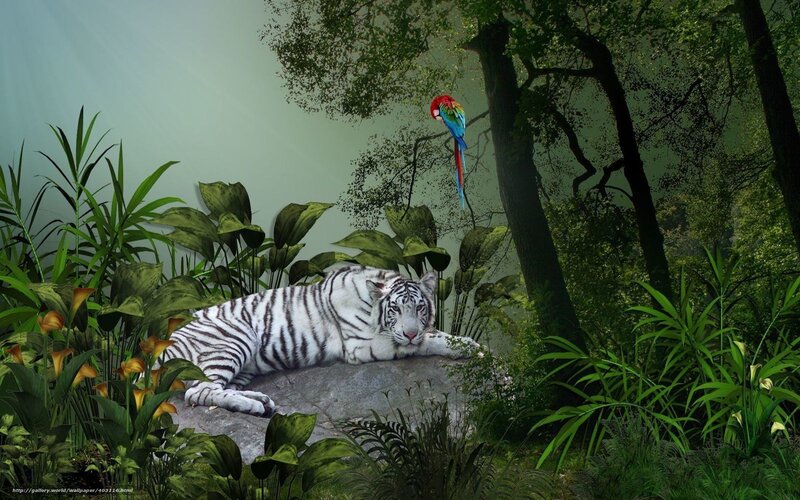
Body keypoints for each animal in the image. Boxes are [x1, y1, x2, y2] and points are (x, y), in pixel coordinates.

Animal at [160, 265, 481, 417]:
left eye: (419, 307)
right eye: (396, 310)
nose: (411, 330)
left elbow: (434, 332)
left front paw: (471, 344)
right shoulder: (362, 345)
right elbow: (425, 341)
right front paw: (464, 347)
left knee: (217, 388)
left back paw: (260, 402)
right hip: (234, 338)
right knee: (199, 392)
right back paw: (254, 406)